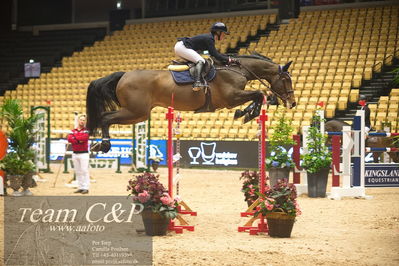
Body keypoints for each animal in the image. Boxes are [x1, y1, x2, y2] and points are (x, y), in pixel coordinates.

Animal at [86, 52, 296, 152]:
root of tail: (123, 75)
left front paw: (247, 113)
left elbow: (261, 95)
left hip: (136, 114)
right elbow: (259, 94)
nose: (293, 103)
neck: (238, 69)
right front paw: (246, 114)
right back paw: (103, 145)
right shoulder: (231, 97)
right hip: (136, 112)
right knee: (105, 118)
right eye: (286, 79)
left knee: (106, 117)